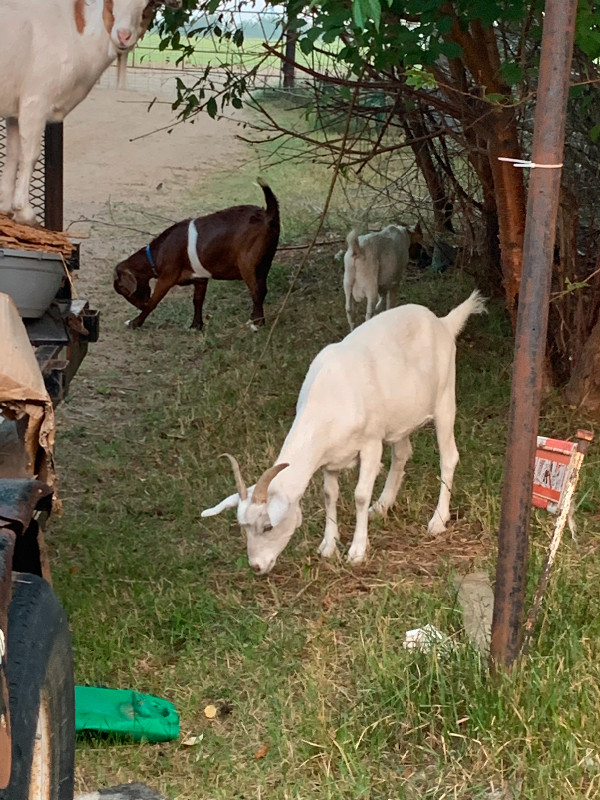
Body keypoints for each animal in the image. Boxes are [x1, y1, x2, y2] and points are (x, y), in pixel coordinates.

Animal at [0, 0, 181, 226]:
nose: (123, 36)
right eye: (111, 2)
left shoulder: (15, 109)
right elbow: (30, 155)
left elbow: (13, 154)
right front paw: (25, 212)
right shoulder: (35, 101)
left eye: (149, 5)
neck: (76, 35)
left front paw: (5, 206)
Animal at [113, 180, 280, 329]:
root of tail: (267, 215)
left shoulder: (166, 279)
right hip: (265, 263)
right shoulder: (200, 279)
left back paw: (256, 323)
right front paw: (196, 325)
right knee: (262, 289)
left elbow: (154, 302)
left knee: (256, 291)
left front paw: (135, 323)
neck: (154, 255)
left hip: (247, 264)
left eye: (122, 289)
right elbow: (197, 300)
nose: (140, 306)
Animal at [201, 290, 486, 575]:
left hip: (445, 399)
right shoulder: (329, 459)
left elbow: (359, 495)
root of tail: (443, 323)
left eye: (268, 526)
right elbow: (330, 495)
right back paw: (382, 506)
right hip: (398, 420)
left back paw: (438, 520)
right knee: (403, 452)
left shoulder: (371, 443)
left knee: (448, 457)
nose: (257, 566)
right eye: (243, 527)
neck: (329, 397)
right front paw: (328, 546)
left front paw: (357, 551)